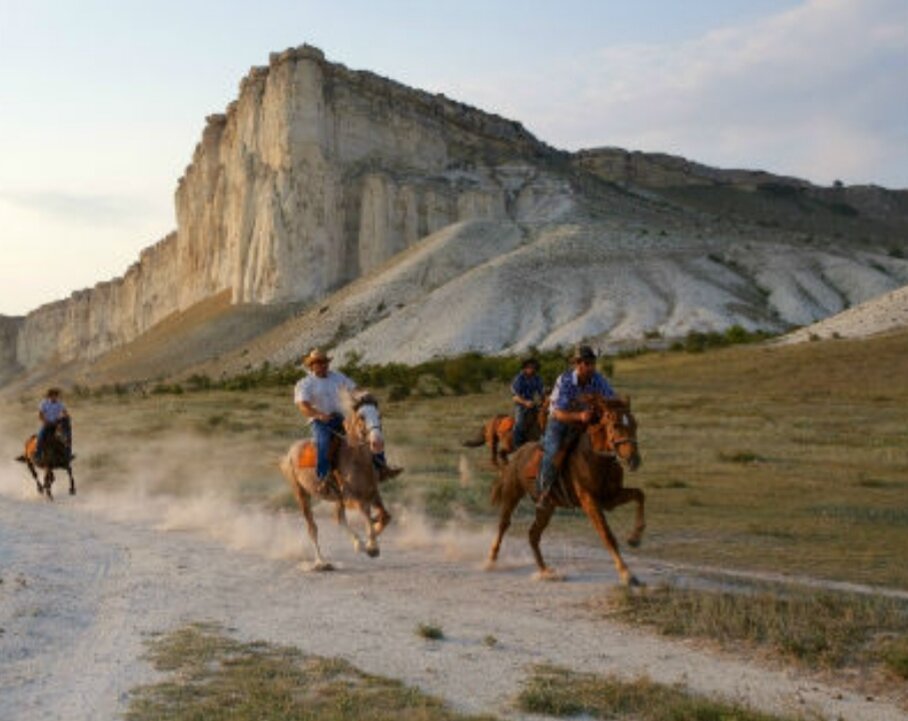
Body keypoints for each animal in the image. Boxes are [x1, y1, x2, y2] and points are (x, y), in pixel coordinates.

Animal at [278, 390, 396, 572]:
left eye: (379, 415)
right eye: (361, 416)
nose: (377, 443)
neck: (356, 459)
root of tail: (290, 453)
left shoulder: (372, 492)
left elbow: (385, 516)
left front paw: (372, 536)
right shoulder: (352, 497)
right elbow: (366, 514)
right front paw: (372, 546)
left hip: (336, 498)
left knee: (338, 518)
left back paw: (358, 543)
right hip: (302, 494)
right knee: (313, 528)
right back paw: (322, 562)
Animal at [486, 396, 640, 588]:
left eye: (635, 424)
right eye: (616, 425)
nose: (634, 460)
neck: (595, 458)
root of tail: (518, 454)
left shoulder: (610, 498)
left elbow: (640, 495)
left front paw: (635, 538)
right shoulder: (589, 501)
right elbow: (606, 534)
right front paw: (627, 574)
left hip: (546, 507)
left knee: (533, 534)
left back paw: (545, 571)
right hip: (512, 493)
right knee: (504, 524)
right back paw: (491, 561)